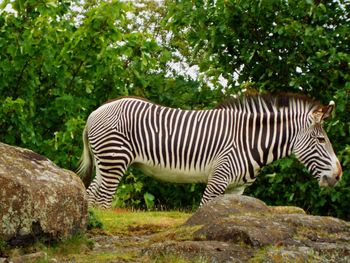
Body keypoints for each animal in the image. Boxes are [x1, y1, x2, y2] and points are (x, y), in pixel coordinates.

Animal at [77, 94, 342, 208]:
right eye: (321, 140)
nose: (339, 175)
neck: (250, 140)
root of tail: (95, 112)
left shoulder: (237, 188)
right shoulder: (218, 178)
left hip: (105, 163)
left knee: (90, 195)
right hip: (115, 161)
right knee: (102, 200)